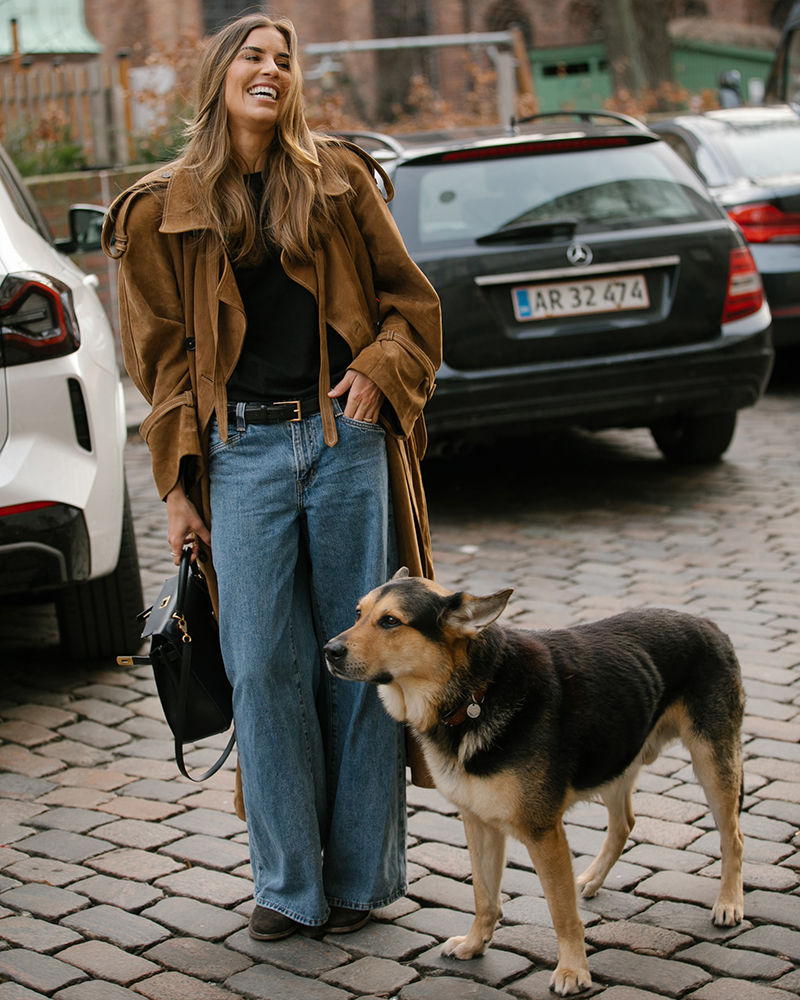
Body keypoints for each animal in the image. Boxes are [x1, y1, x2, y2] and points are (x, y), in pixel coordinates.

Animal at [322, 568, 748, 996]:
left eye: (391, 621)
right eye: (358, 613)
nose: (328, 650)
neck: (476, 693)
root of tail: (708, 624)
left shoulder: (543, 832)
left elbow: (561, 912)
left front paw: (573, 970)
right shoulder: (478, 823)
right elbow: (484, 896)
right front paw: (475, 944)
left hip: (713, 764)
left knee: (733, 837)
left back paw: (729, 903)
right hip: (616, 757)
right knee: (624, 823)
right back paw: (593, 878)